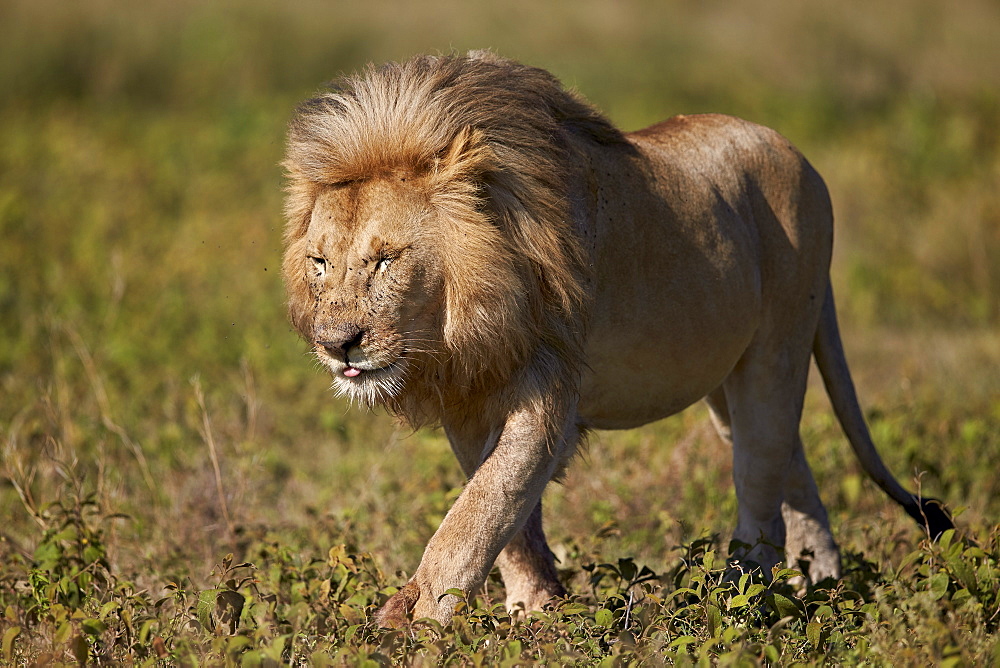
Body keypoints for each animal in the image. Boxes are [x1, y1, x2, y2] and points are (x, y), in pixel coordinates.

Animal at [282, 51, 952, 628]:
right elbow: (506, 521)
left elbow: (479, 510)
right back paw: (819, 586)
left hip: (777, 347)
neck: (461, 329)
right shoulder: (469, 402)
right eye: (320, 264)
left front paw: (415, 625)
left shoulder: (547, 392)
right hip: (725, 381)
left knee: (760, 486)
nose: (338, 344)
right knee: (793, 467)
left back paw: (734, 601)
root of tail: (799, 155)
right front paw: (537, 611)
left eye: (385, 260)